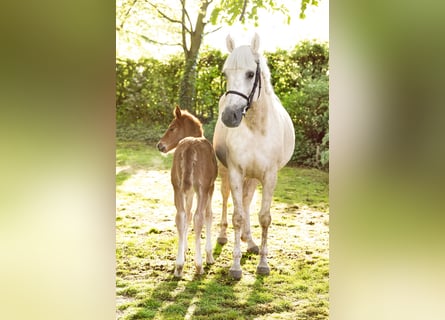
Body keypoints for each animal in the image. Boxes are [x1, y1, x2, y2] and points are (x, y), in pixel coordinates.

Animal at [212, 33, 294, 278]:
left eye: (250, 74)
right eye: (225, 74)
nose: (229, 116)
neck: (257, 128)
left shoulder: (268, 176)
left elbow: (264, 217)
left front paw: (263, 264)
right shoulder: (236, 173)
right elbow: (237, 216)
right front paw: (235, 266)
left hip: (253, 178)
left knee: (247, 202)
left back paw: (249, 241)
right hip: (227, 173)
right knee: (226, 199)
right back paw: (224, 236)